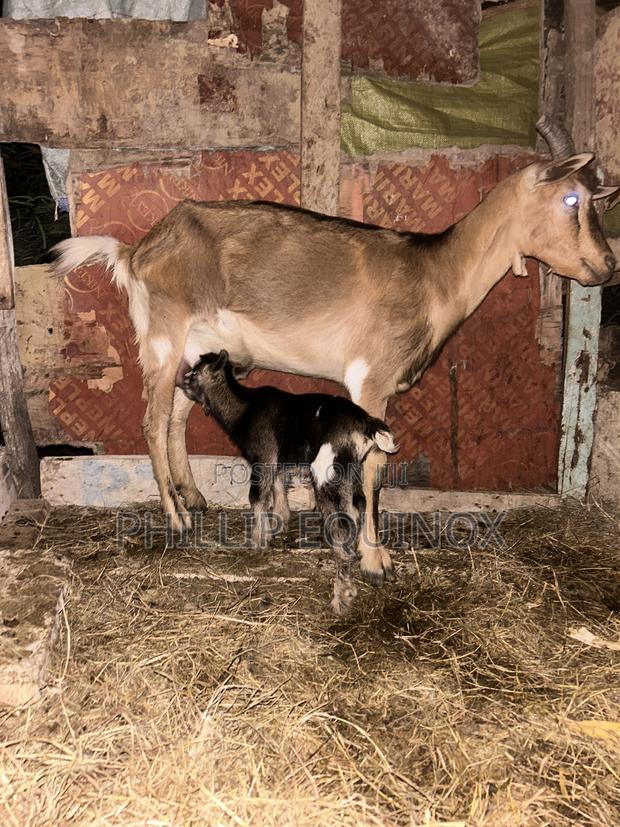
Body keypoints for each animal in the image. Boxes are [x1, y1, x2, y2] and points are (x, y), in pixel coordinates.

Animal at [182, 350, 398, 613]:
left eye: (194, 372)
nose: (180, 382)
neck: (244, 410)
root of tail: (366, 422)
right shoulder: (276, 459)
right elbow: (277, 487)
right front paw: (277, 524)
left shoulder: (263, 455)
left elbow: (257, 497)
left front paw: (258, 542)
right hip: (350, 471)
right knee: (359, 506)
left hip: (326, 471)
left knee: (340, 523)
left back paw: (341, 598)